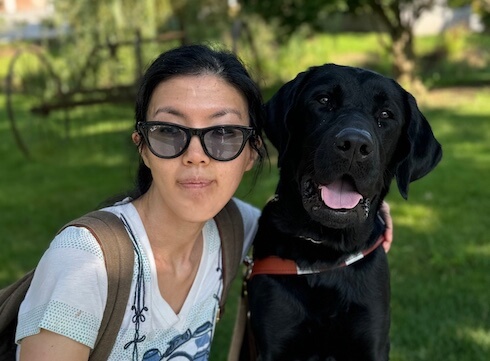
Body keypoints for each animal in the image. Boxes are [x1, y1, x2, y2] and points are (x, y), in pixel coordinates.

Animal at [247, 64, 442, 360]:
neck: (325, 253)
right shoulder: (273, 342)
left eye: (386, 115)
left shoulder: (372, 341)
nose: (355, 145)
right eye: (324, 100)